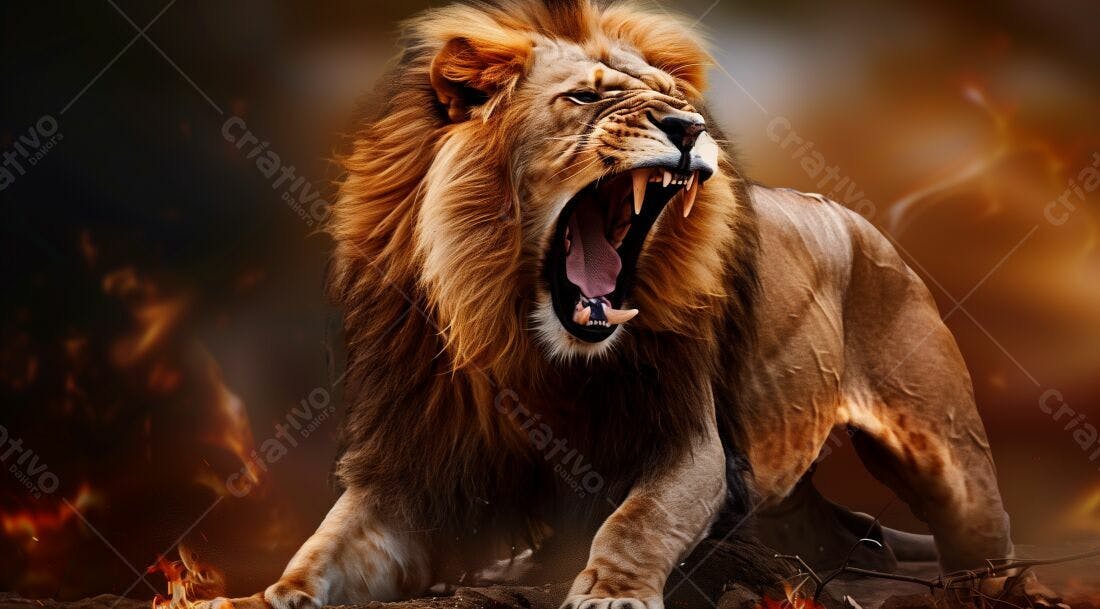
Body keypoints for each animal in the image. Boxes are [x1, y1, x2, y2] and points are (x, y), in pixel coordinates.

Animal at [216, 2, 1062, 608]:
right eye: (585, 96)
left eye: (671, 100)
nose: (687, 126)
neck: (520, 336)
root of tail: (862, 222)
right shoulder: (413, 465)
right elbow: (322, 551)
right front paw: (264, 595)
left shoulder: (688, 440)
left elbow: (637, 519)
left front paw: (610, 594)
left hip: (949, 460)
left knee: (982, 537)